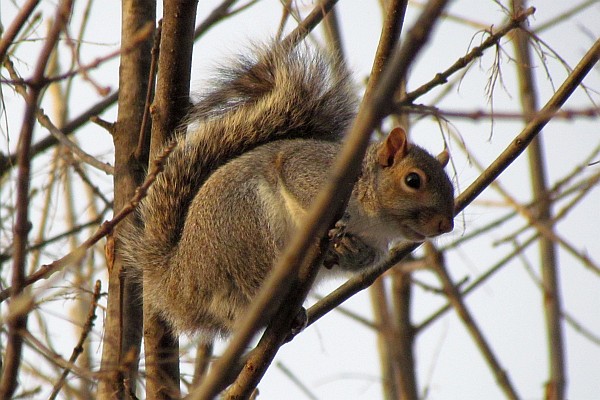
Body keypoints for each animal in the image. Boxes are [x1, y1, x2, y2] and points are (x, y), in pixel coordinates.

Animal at [119, 41, 452, 340]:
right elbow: (296, 179)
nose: (445, 225)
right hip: (248, 227)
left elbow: (366, 259)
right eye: (413, 180)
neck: (374, 220)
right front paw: (336, 223)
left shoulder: (377, 244)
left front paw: (352, 253)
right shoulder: (312, 167)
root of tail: (179, 280)